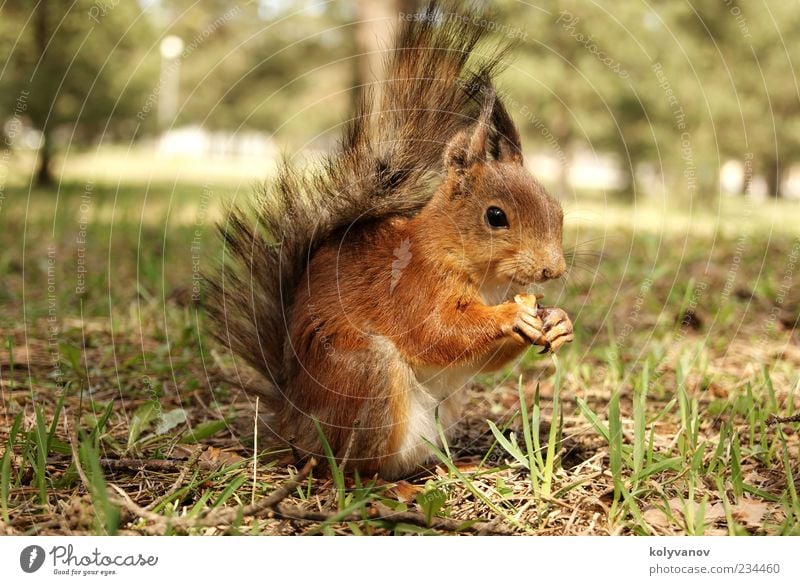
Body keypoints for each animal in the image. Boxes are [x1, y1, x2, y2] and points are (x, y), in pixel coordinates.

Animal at [203, 1, 572, 480]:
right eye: (496, 216)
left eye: (558, 210)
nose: (553, 269)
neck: (483, 277)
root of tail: (293, 424)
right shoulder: (413, 285)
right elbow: (437, 332)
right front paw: (511, 316)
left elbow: (479, 358)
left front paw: (559, 320)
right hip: (366, 375)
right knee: (356, 467)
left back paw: (457, 464)